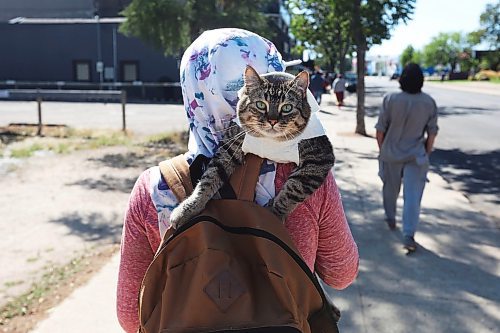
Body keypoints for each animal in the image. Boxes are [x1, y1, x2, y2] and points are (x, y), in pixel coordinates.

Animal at [169, 66, 336, 230]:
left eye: (287, 108)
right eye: (261, 105)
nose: (272, 121)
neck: (270, 143)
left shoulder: (320, 157)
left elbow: (293, 189)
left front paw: (273, 215)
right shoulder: (229, 147)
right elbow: (208, 179)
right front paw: (188, 208)